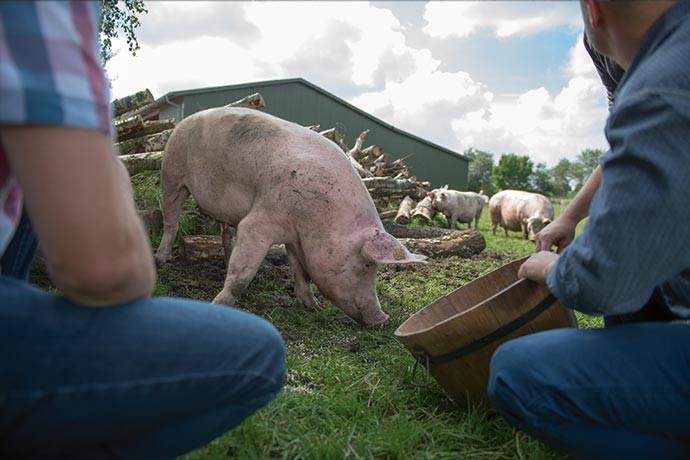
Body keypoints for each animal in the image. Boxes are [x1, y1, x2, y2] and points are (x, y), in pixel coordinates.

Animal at [156, 107, 424, 328]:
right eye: (368, 265)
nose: (382, 318)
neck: (322, 222)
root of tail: (186, 119)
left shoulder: (296, 238)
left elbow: (301, 273)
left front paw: (314, 308)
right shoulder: (260, 222)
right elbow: (242, 277)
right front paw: (217, 306)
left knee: (226, 233)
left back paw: (225, 261)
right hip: (171, 175)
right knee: (171, 221)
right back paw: (160, 260)